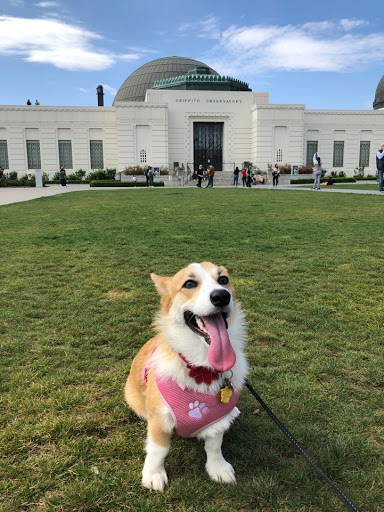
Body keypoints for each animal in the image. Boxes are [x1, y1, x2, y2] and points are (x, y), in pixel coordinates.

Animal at [124, 262, 248, 490]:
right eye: (189, 284)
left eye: (223, 280)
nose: (221, 296)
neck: (201, 367)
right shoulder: (159, 419)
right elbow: (159, 449)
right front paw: (153, 474)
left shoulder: (216, 420)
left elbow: (214, 445)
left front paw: (218, 469)